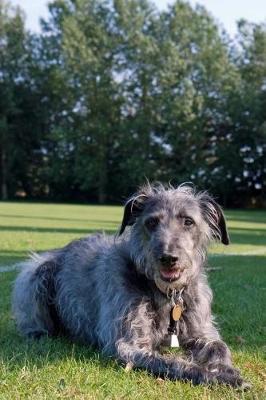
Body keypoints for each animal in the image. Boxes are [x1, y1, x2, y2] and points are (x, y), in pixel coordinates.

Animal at [13, 184, 249, 388]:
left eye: (188, 221)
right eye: (151, 222)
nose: (168, 258)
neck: (166, 294)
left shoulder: (200, 330)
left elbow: (219, 346)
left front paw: (224, 368)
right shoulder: (129, 344)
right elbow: (175, 363)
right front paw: (218, 376)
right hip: (36, 273)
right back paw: (38, 332)